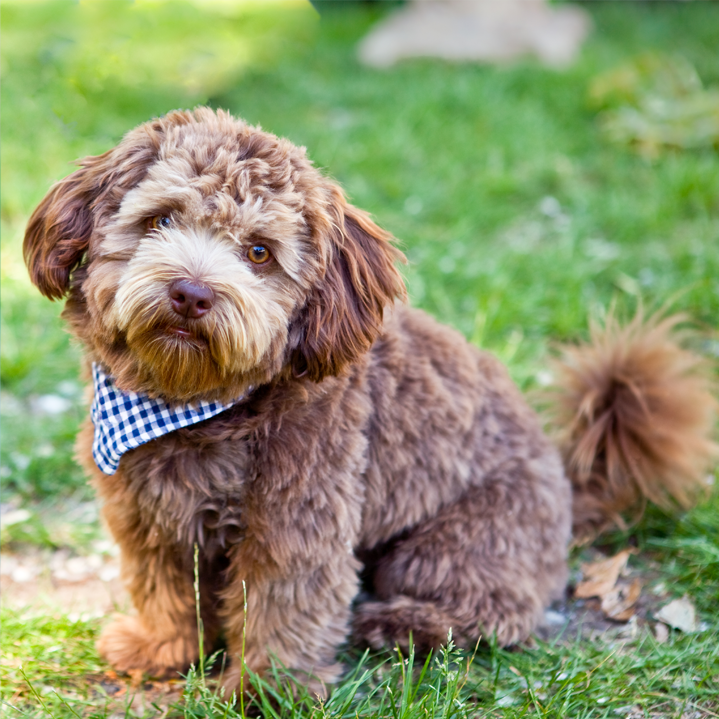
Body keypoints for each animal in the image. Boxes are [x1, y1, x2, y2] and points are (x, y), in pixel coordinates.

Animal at [21, 108, 716, 696]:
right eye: (160, 219)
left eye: (258, 252)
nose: (191, 293)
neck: (192, 404)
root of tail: (572, 492)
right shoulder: (146, 512)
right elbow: (163, 587)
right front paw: (161, 650)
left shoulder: (300, 518)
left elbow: (284, 602)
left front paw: (266, 691)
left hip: (459, 543)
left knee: (499, 611)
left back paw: (400, 627)